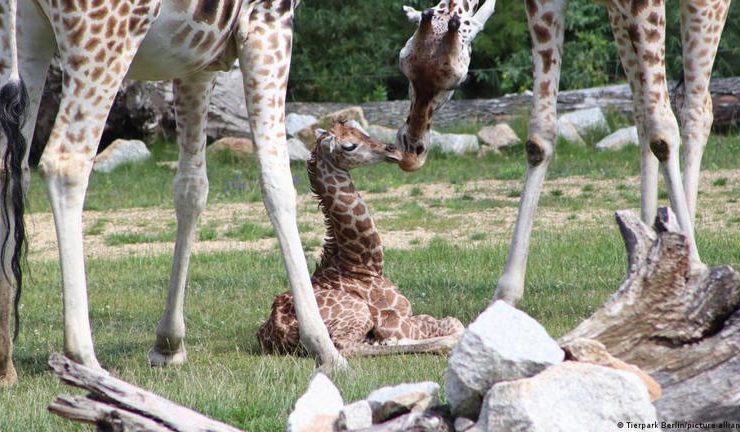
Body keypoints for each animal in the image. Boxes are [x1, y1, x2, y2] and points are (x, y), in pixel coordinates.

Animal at [0, 0, 346, 387]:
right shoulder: (268, 20)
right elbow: (278, 183)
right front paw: (324, 348)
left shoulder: (197, 61)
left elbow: (191, 189)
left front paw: (168, 343)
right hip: (103, 35)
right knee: (65, 163)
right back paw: (85, 360)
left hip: (26, 34)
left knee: (12, 167)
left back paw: (5, 365)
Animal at [257, 122, 464, 355]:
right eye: (349, 146)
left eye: (360, 130)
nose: (393, 150)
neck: (362, 265)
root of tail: (278, 332)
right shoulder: (393, 321)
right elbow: (454, 323)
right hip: (358, 312)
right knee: (345, 346)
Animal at [396, 0, 730, 304]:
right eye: (404, 64)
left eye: (459, 78)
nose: (413, 147)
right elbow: (539, 136)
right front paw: (506, 294)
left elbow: (663, 129)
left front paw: (693, 268)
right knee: (642, 111)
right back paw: (643, 255)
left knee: (695, 109)